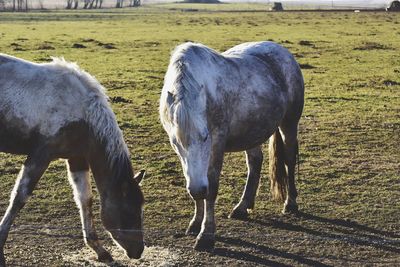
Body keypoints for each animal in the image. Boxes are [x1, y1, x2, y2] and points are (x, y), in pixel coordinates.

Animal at [0, 54, 146, 266]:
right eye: (129, 211)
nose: (138, 251)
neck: (81, 111)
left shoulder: (78, 159)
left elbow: (85, 199)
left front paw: (100, 250)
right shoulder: (40, 155)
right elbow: (19, 198)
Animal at [159, 41, 304, 251]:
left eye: (205, 137)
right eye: (175, 142)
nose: (198, 189)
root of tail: (282, 51)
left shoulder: (217, 143)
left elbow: (211, 187)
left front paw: (206, 234)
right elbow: (195, 185)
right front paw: (195, 223)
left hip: (289, 124)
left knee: (289, 160)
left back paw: (290, 203)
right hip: (253, 130)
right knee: (255, 162)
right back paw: (242, 206)